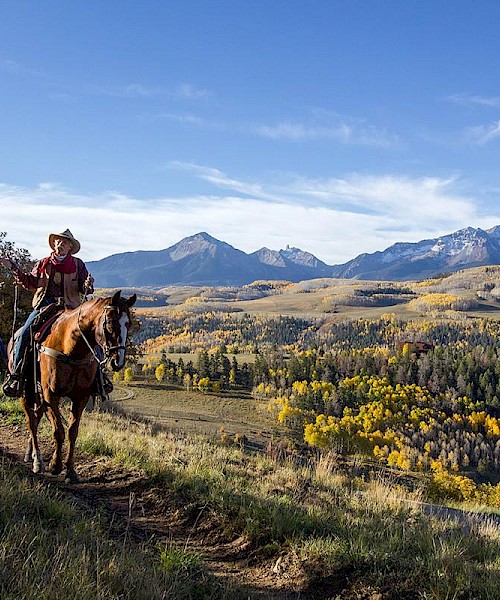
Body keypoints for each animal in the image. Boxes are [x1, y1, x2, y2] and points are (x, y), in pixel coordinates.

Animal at [11, 290, 136, 482]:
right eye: (111, 321)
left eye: (128, 323)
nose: (118, 361)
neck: (72, 348)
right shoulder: (50, 395)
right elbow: (58, 430)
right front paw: (55, 465)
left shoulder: (80, 397)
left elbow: (72, 432)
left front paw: (70, 471)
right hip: (25, 392)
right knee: (31, 421)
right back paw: (37, 460)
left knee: (37, 417)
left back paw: (30, 453)